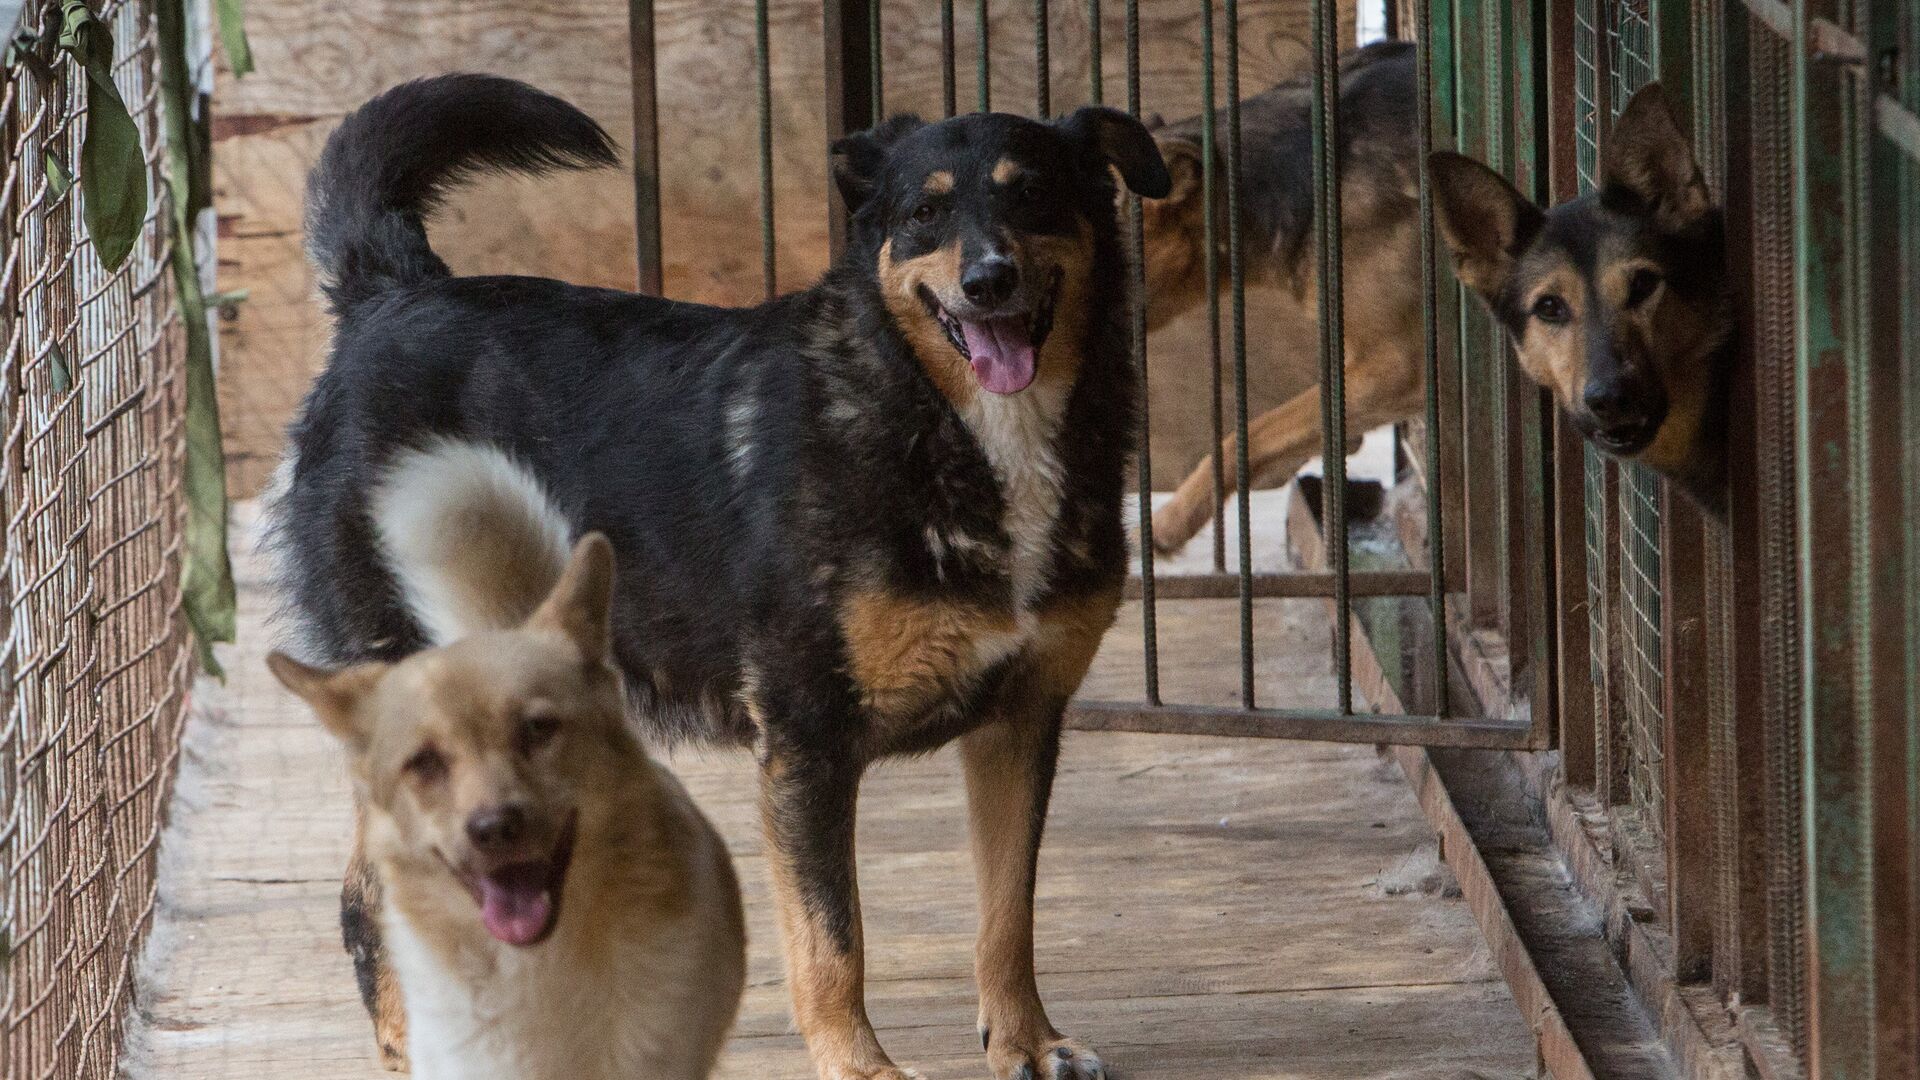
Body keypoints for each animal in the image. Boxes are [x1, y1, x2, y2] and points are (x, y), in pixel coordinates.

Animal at [270, 75, 1167, 1076]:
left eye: (1033, 194)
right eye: (925, 213)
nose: (988, 281)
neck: (941, 421)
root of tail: (388, 294)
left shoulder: (1022, 723)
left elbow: (1009, 916)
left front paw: (1025, 1040)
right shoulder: (808, 742)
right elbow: (833, 942)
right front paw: (860, 1065)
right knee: (366, 897)